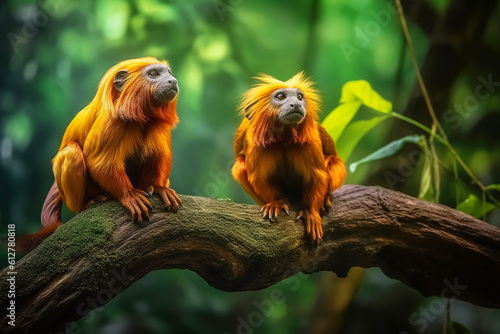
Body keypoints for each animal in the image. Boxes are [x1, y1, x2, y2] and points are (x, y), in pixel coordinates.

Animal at [21, 57, 184, 250]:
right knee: (72, 152)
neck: (142, 115)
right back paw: (88, 203)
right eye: (153, 74)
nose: (173, 81)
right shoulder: (112, 122)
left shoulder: (159, 124)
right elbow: (100, 163)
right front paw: (129, 195)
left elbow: (160, 156)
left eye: (169, 73)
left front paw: (159, 188)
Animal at [232, 72, 346, 245]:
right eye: (280, 97)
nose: (296, 104)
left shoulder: (310, 141)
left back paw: (326, 198)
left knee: (333, 162)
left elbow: (317, 175)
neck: (284, 137)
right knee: (239, 167)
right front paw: (276, 203)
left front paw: (310, 213)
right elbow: (259, 178)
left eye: (299, 97)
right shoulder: (255, 145)